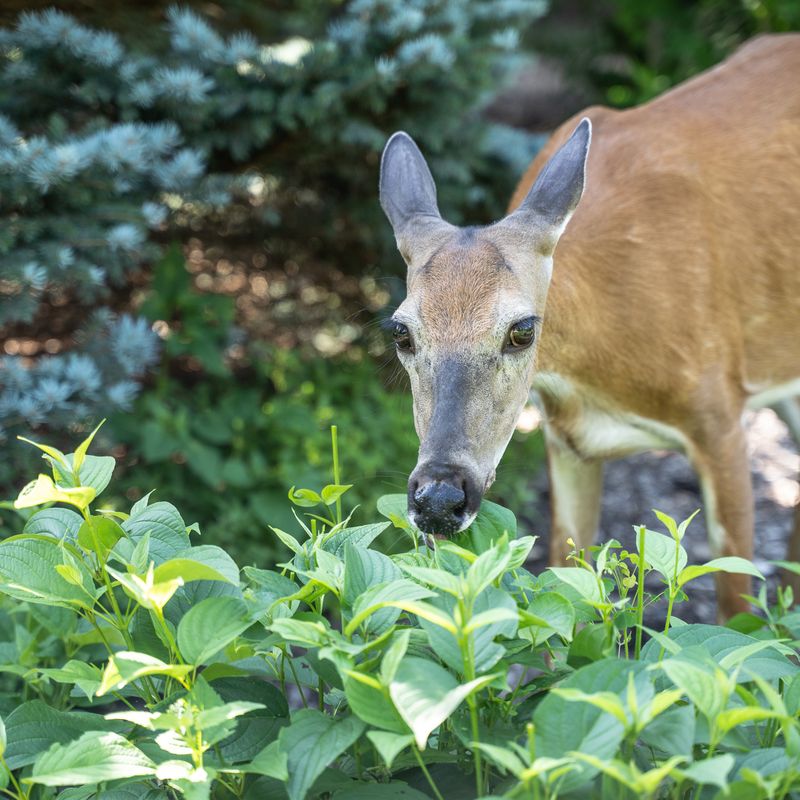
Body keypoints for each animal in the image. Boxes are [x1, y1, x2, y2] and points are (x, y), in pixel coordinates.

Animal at [378, 33, 800, 620]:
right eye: (401, 332)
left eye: (522, 330)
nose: (439, 497)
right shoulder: (566, 441)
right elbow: (568, 587)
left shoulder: (721, 416)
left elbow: (736, 610)